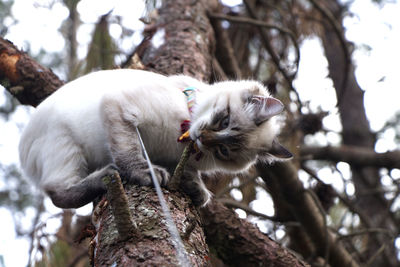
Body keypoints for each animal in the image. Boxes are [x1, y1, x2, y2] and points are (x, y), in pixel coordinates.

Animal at [18, 69, 290, 209]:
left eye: (223, 151)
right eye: (224, 121)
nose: (202, 137)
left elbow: (189, 173)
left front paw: (196, 190)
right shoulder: (121, 109)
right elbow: (130, 151)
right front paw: (146, 173)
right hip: (66, 147)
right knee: (58, 193)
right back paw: (109, 173)